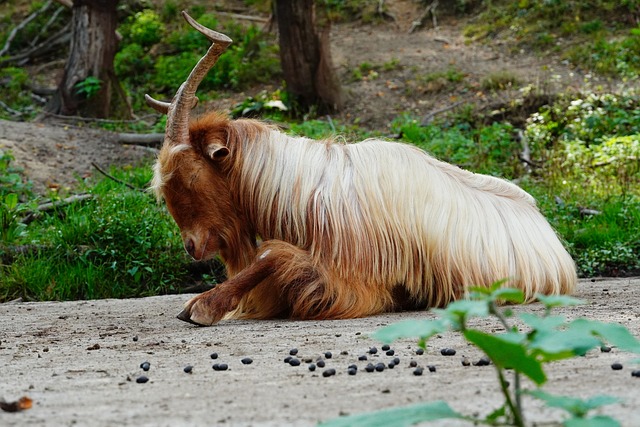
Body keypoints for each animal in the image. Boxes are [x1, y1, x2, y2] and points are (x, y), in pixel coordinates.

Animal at [148, 12, 576, 328]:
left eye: (190, 176)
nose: (191, 246)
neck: (304, 192)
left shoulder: (353, 282)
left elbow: (270, 255)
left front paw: (202, 306)